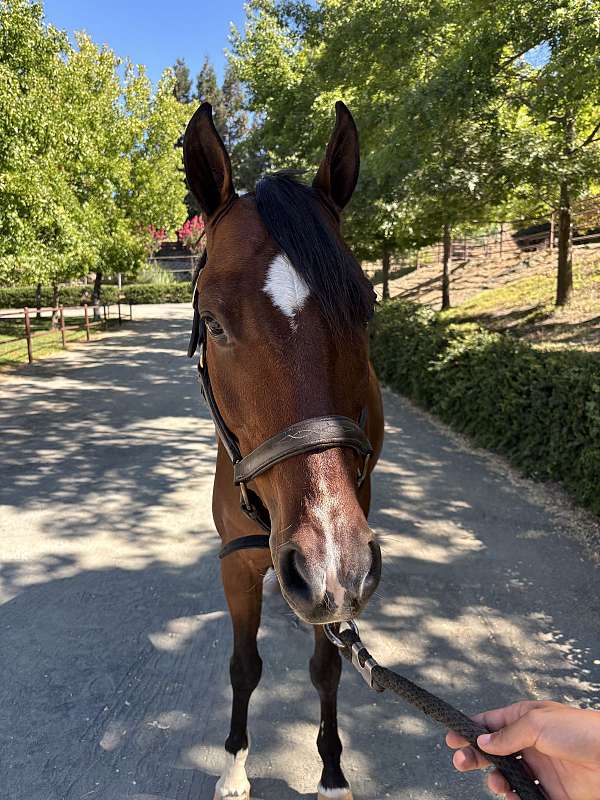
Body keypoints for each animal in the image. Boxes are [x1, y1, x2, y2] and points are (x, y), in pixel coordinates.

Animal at [183, 100, 384, 800]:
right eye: (214, 323)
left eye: (366, 309)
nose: (332, 563)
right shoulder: (240, 565)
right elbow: (244, 666)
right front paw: (233, 767)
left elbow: (330, 667)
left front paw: (332, 773)